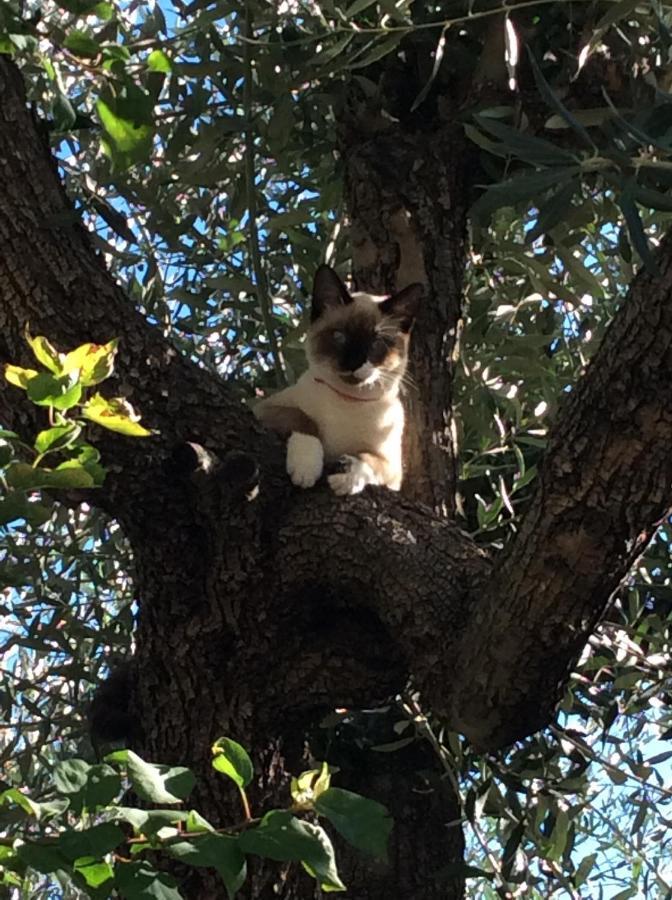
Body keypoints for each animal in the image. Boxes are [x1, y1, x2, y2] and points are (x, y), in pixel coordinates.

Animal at [255, 264, 422, 496]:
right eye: (339, 337)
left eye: (376, 344)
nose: (353, 363)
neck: (347, 402)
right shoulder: (263, 408)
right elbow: (304, 421)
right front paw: (306, 470)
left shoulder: (392, 472)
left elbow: (366, 459)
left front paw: (347, 477)